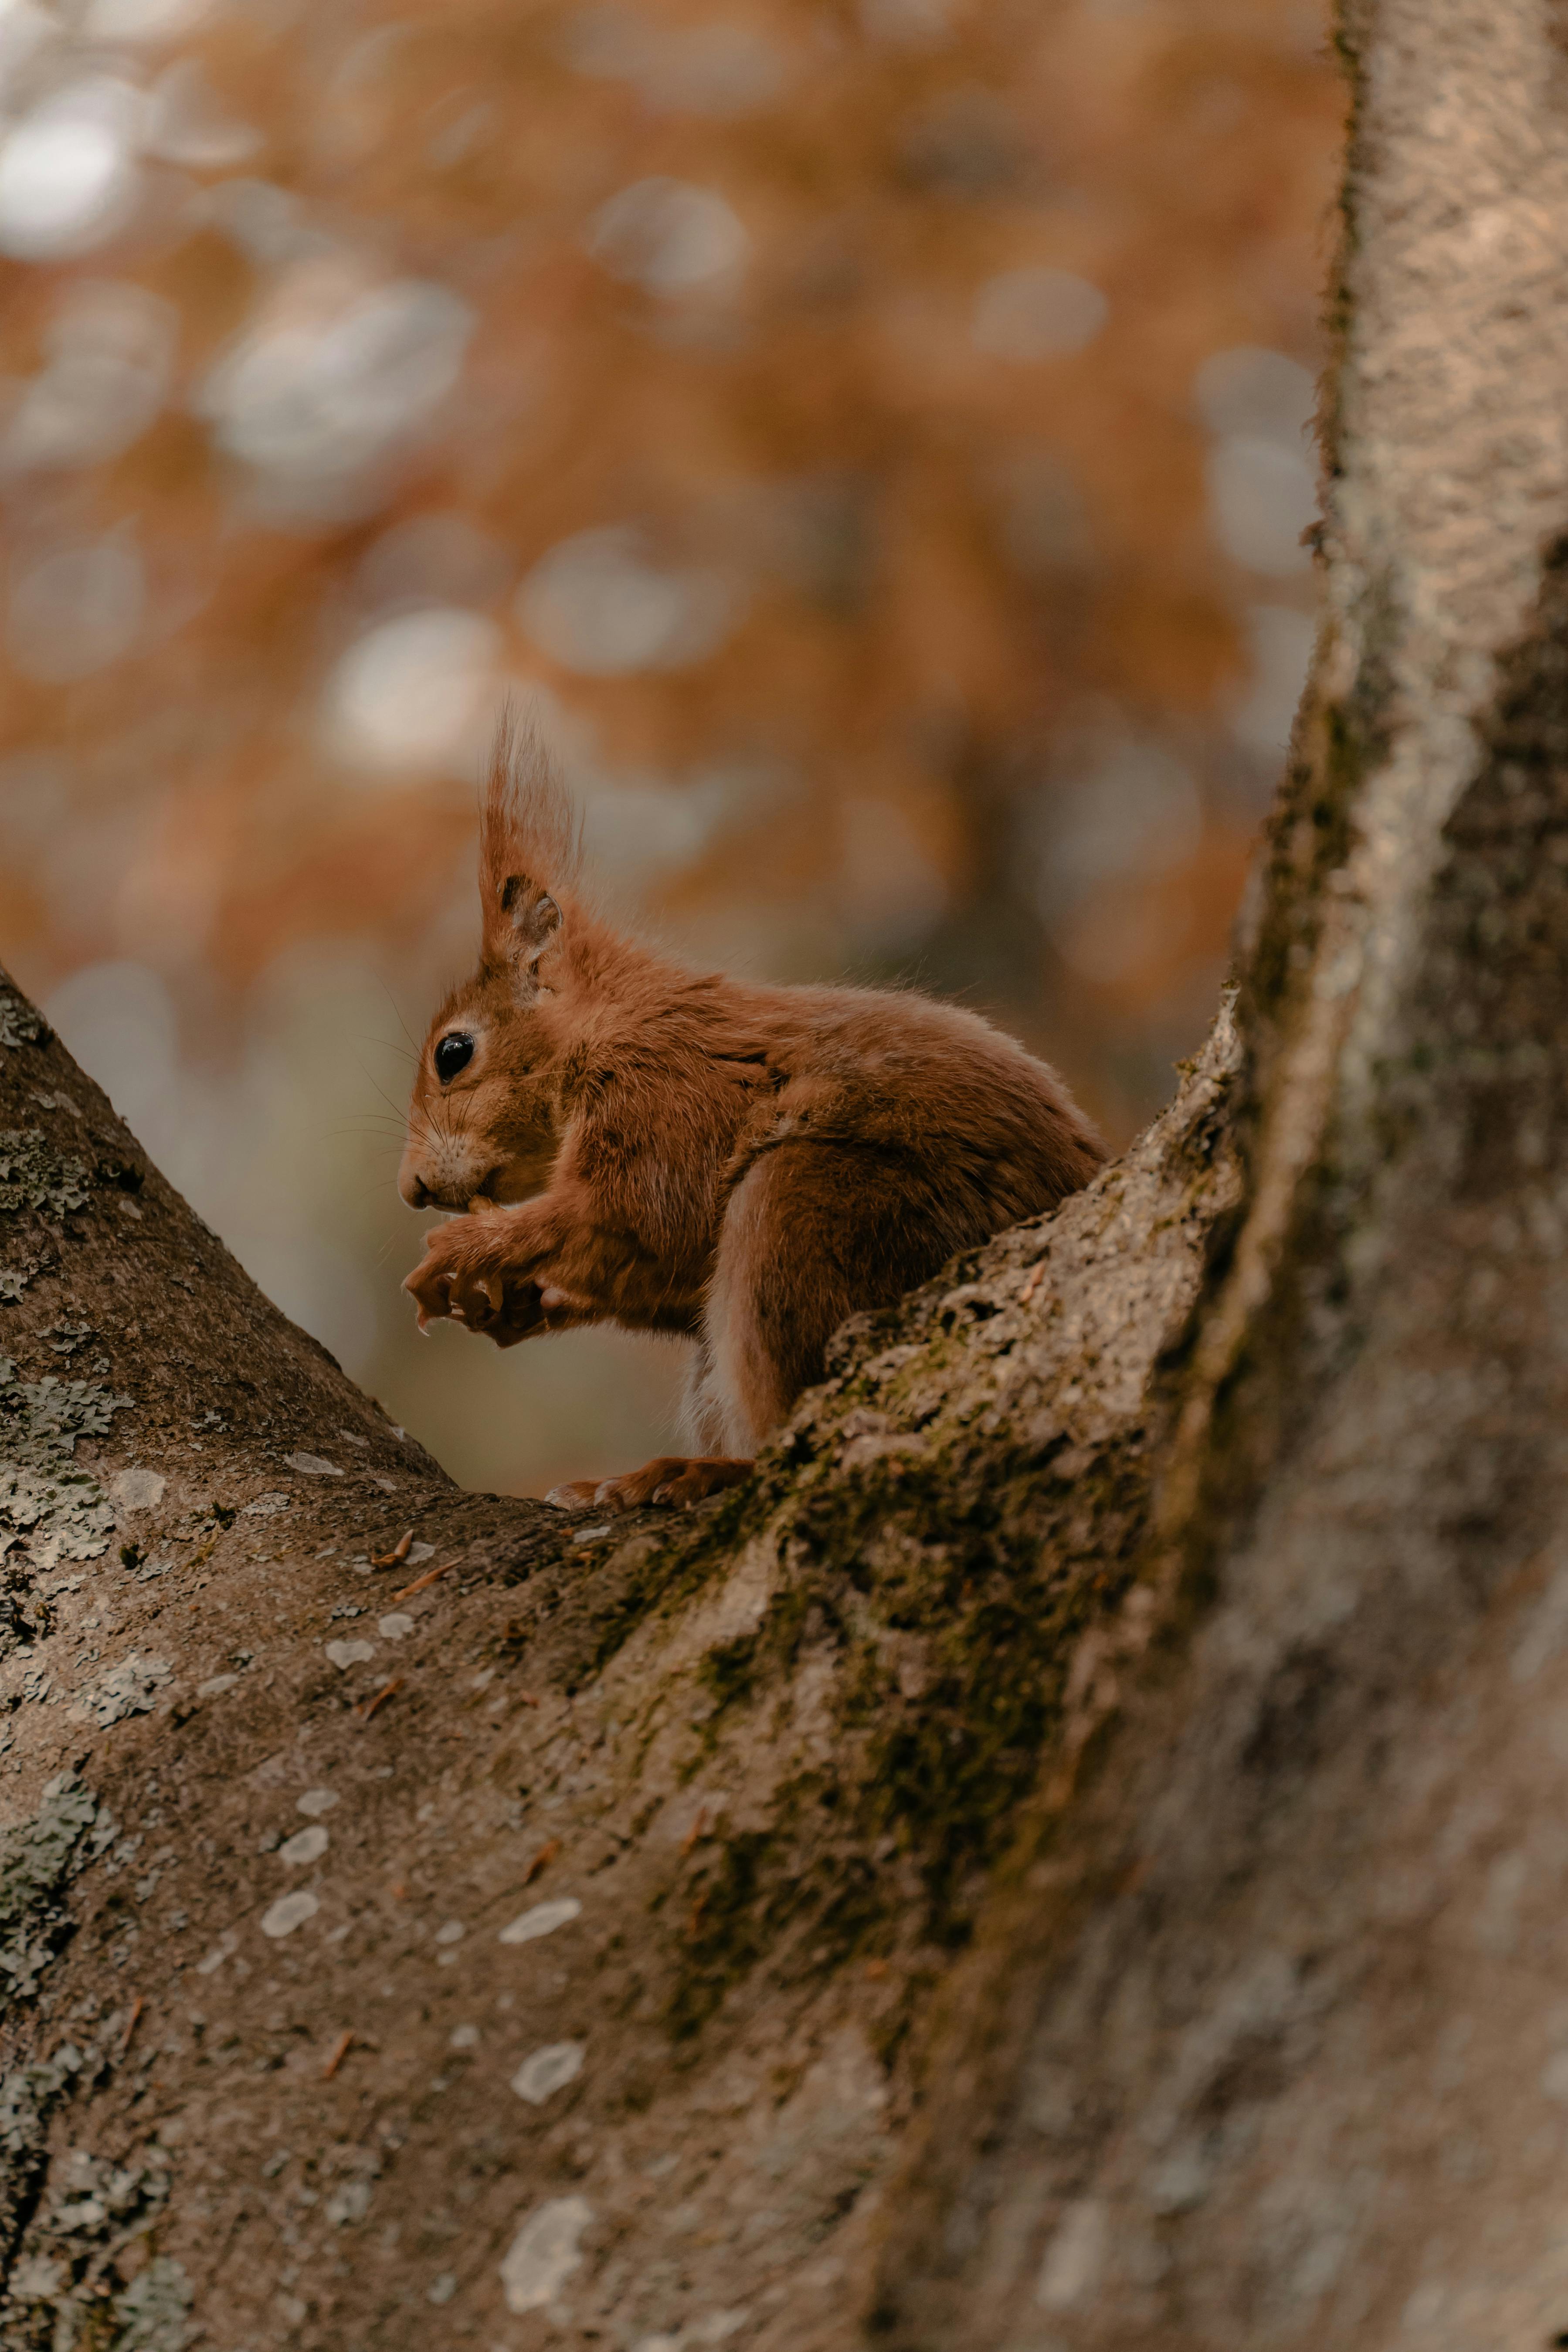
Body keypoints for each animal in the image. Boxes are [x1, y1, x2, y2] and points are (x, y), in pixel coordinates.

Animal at [400, 714, 1106, 1513]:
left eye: (453, 1053)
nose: (411, 1188)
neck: (611, 1024)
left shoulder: (664, 1093)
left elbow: (640, 1219)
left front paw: (472, 1246)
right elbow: (663, 1272)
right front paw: (517, 1302)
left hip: (812, 1210)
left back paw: (700, 1472)